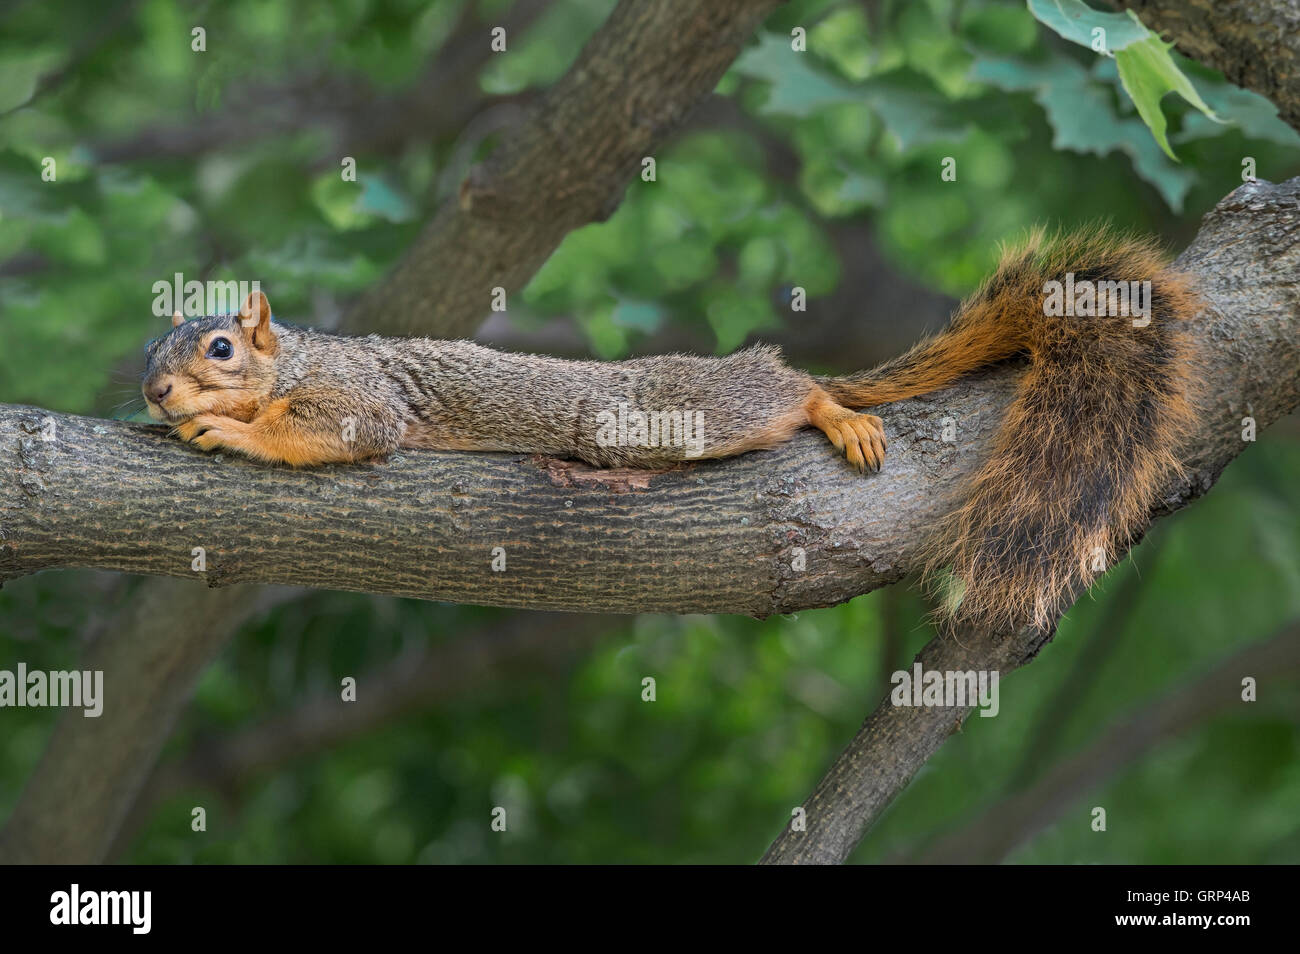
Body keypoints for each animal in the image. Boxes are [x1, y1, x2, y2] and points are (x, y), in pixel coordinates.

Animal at [142, 228, 1196, 634]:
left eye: (222, 347)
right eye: (151, 344)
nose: (154, 391)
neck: (298, 360)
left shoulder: (360, 395)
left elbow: (332, 430)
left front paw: (231, 428)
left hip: (655, 418)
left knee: (788, 389)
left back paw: (831, 410)